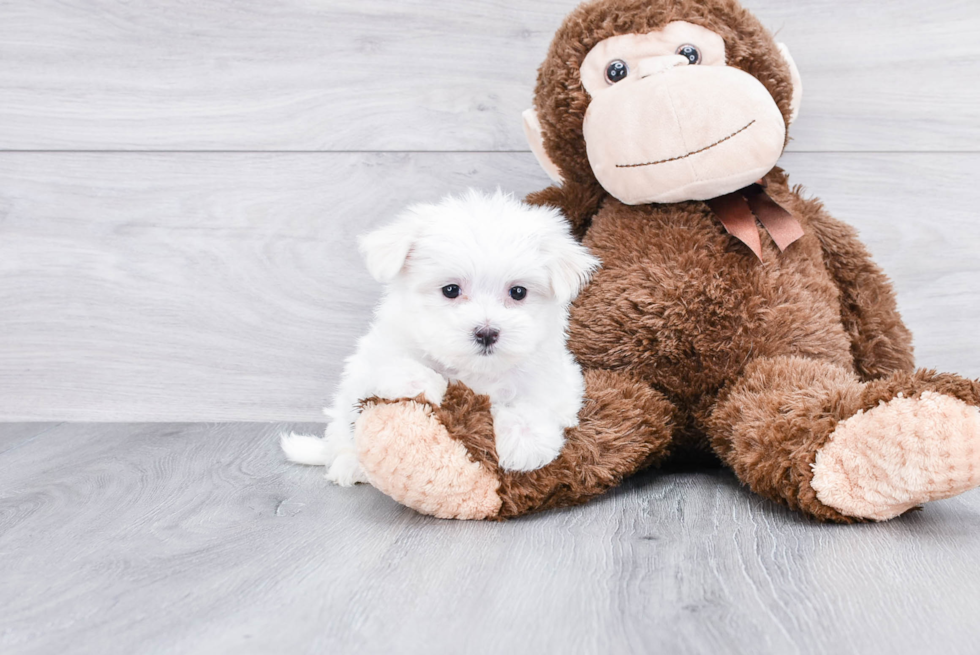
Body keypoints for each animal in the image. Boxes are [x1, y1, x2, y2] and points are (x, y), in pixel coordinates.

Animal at [282, 190, 596, 486]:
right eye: (451, 290)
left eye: (518, 292)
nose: (486, 332)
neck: (474, 370)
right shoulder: (379, 351)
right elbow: (395, 365)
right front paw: (424, 383)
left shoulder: (556, 379)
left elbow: (535, 403)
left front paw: (525, 443)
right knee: (340, 433)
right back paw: (348, 464)